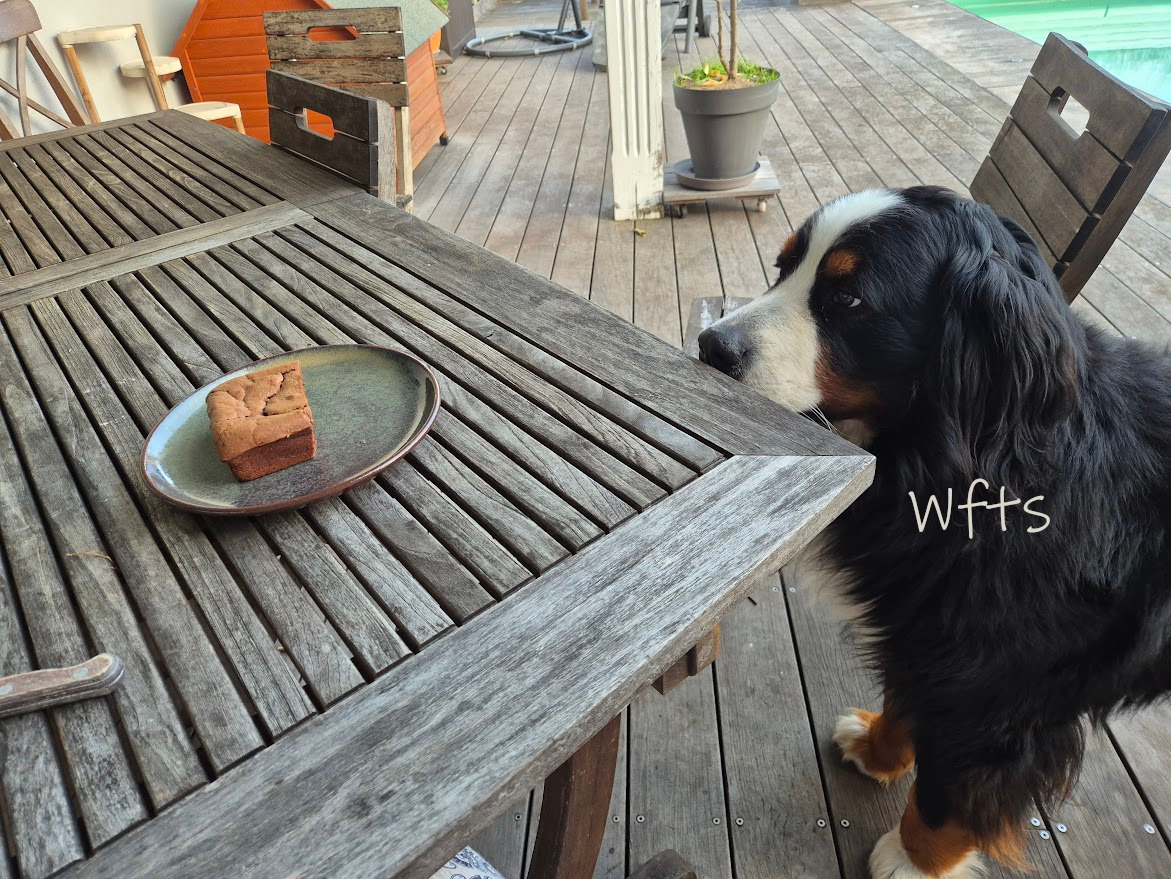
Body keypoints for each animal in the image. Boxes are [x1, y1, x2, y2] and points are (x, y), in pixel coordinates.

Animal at [697, 186, 1171, 879]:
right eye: (784, 267)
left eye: (849, 299)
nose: (711, 345)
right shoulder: (927, 628)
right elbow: (906, 698)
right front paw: (878, 750)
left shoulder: (998, 692)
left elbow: (950, 791)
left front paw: (914, 859)